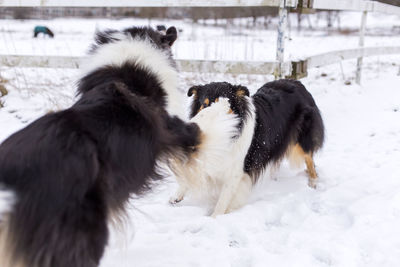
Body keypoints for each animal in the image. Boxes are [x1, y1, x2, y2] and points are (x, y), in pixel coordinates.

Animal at [170, 81, 324, 218]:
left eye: (226, 105)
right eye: (205, 104)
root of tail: (298, 83)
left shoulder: (235, 171)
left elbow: (223, 199)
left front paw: (214, 218)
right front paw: (176, 196)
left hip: (302, 141)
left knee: (310, 161)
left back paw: (313, 183)